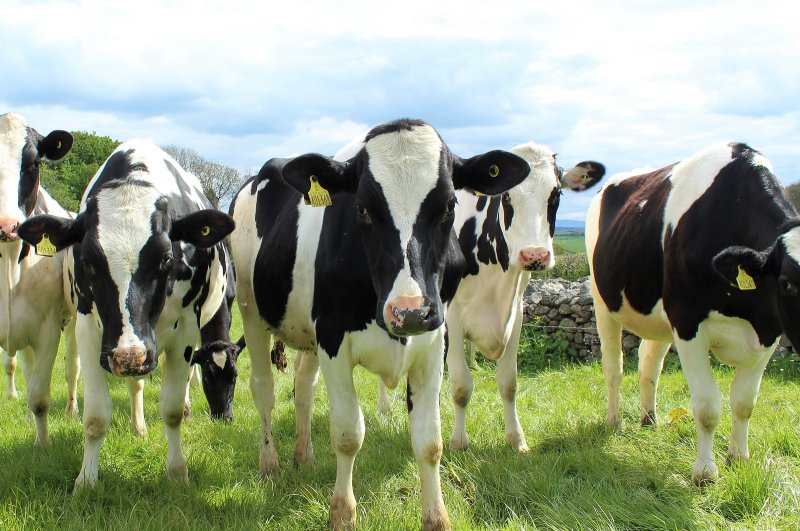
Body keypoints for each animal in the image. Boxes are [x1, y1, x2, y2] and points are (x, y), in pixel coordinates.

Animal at [17, 140, 234, 490]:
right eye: (88, 261)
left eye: (165, 258)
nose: (128, 356)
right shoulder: (90, 331)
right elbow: (95, 416)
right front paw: (86, 481)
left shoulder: (186, 331)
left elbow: (172, 409)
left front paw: (177, 473)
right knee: (135, 384)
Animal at [230, 120, 532, 531]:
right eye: (362, 208)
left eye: (449, 206)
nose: (410, 312)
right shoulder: (333, 339)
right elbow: (348, 433)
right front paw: (342, 512)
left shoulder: (435, 340)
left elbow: (429, 441)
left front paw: (436, 517)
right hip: (250, 309)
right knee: (263, 388)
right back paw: (270, 464)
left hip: (306, 331)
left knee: (304, 387)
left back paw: (304, 455)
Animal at [446, 142, 604, 454]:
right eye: (506, 196)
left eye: (556, 194)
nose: (534, 255)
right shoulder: (453, 316)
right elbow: (460, 386)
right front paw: (458, 442)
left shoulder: (516, 314)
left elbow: (509, 382)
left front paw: (516, 439)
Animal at [584, 142, 796, 486]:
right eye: (787, 283)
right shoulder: (687, 323)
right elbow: (708, 407)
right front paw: (705, 472)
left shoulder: (769, 332)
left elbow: (745, 402)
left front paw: (739, 459)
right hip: (604, 302)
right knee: (614, 366)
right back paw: (614, 420)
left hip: (658, 316)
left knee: (648, 364)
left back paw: (649, 419)